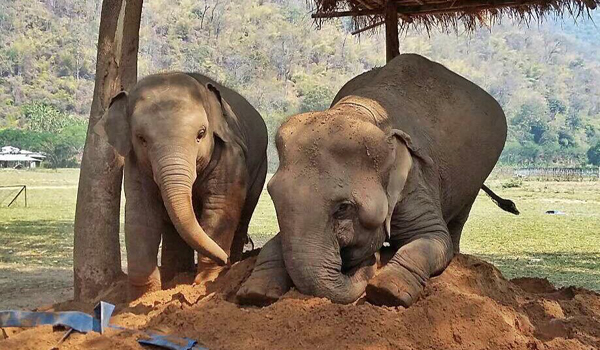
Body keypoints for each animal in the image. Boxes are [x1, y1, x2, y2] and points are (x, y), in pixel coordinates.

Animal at [96, 72, 268, 300]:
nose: (225, 260)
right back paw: (177, 276)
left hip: (260, 169)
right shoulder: (135, 165)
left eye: (201, 133)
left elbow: (220, 205)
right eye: (141, 138)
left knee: (243, 215)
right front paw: (142, 298)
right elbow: (140, 213)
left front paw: (207, 282)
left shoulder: (229, 157)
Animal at [237, 54, 516, 306]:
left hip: (477, 174)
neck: (361, 112)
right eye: (274, 197)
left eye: (343, 208)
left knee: (460, 216)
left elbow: (435, 237)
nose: (372, 260)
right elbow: (278, 240)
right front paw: (254, 294)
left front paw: (387, 292)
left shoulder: (416, 179)